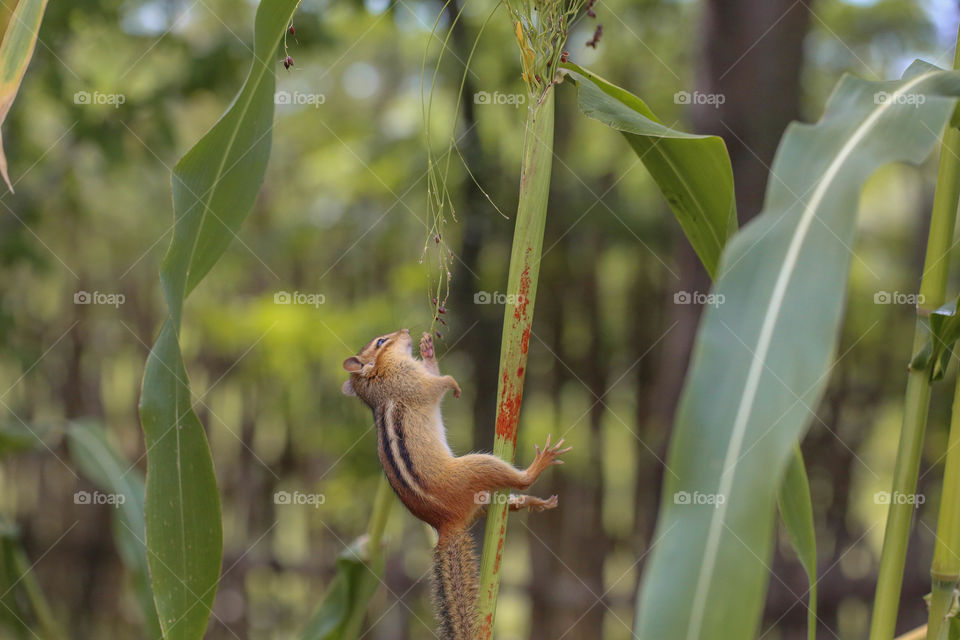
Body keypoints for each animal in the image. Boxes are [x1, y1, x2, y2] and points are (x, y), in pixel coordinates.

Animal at [342, 328, 570, 640]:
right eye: (380, 342)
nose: (405, 331)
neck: (380, 374)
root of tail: (444, 525)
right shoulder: (415, 384)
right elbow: (440, 384)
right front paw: (453, 384)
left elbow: (433, 372)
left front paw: (428, 350)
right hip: (478, 466)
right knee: (520, 481)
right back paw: (540, 465)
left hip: (482, 499)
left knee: (504, 503)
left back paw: (534, 502)